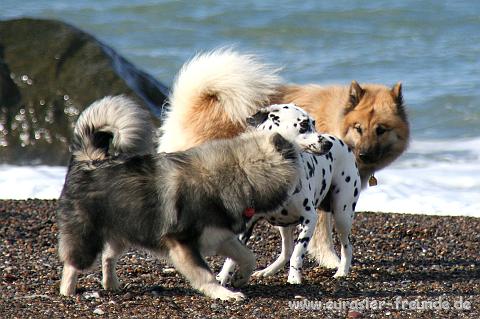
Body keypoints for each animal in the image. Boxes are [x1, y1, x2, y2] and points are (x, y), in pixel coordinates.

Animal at [57, 96, 334, 302]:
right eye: (304, 126)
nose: (329, 144)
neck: (241, 172)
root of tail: (89, 159)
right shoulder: (183, 243)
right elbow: (206, 274)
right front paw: (224, 293)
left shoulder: (220, 235)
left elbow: (247, 257)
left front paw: (240, 278)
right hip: (88, 236)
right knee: (73, 263)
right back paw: (67, 291)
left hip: (126, 229)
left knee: (108, 256)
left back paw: (111, 283)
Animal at [218, 104, 360, 284]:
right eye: (304, 124)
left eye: (314, 123)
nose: (327, 144)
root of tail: (341, 142)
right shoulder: (247, 225)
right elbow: (231, 258)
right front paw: (222, 277)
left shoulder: (309, 220)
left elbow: (297, 254)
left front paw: (294, 278)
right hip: (283, 225)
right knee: (286, 251)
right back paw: (267, 271)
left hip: (343, 216)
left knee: (347, 247)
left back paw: (342, 271)